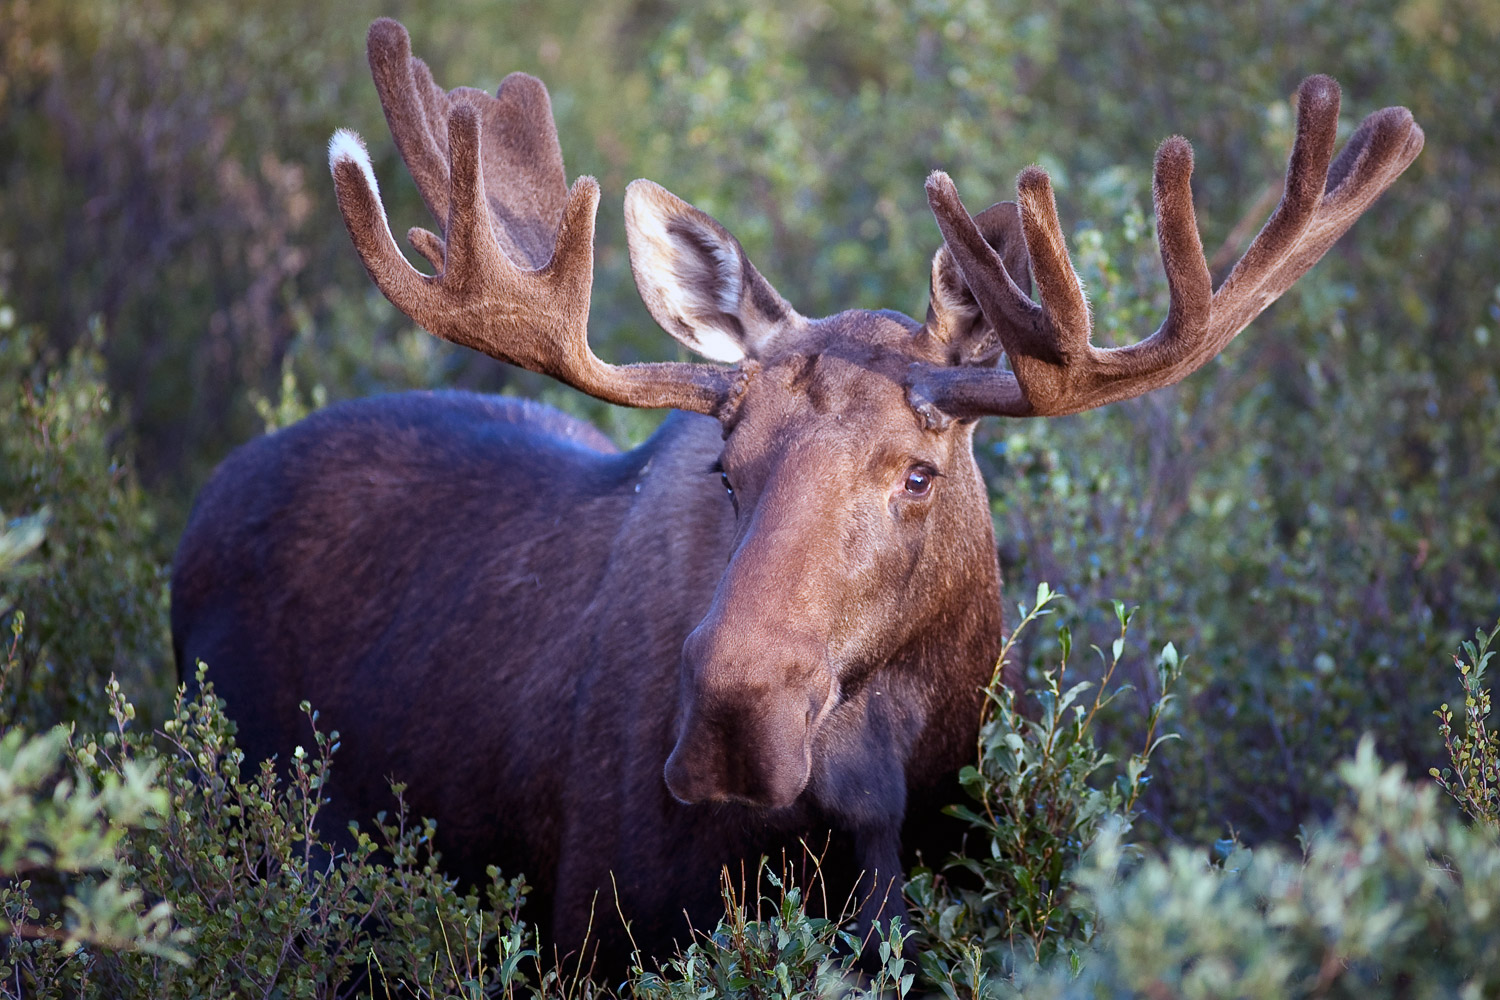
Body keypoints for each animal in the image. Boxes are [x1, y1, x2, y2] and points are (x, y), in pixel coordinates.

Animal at [170, 15, 1422, 971]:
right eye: (725, 467)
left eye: (919, 470)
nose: (734, 719)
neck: (870, 815)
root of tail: (207, 497)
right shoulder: (591, 936)